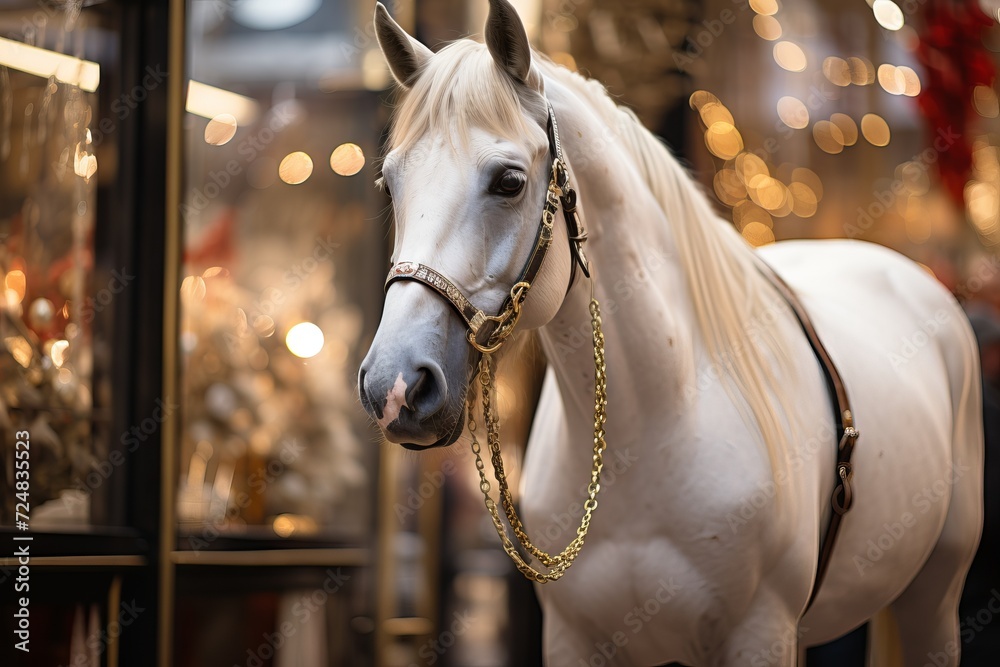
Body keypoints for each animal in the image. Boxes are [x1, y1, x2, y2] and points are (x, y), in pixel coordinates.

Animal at [357, 1, 984, 664]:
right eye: (390, 184)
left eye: (509, 182)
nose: (394, 386)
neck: (651, 431)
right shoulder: (575, 640)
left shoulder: (759, 633)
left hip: (933, 598)